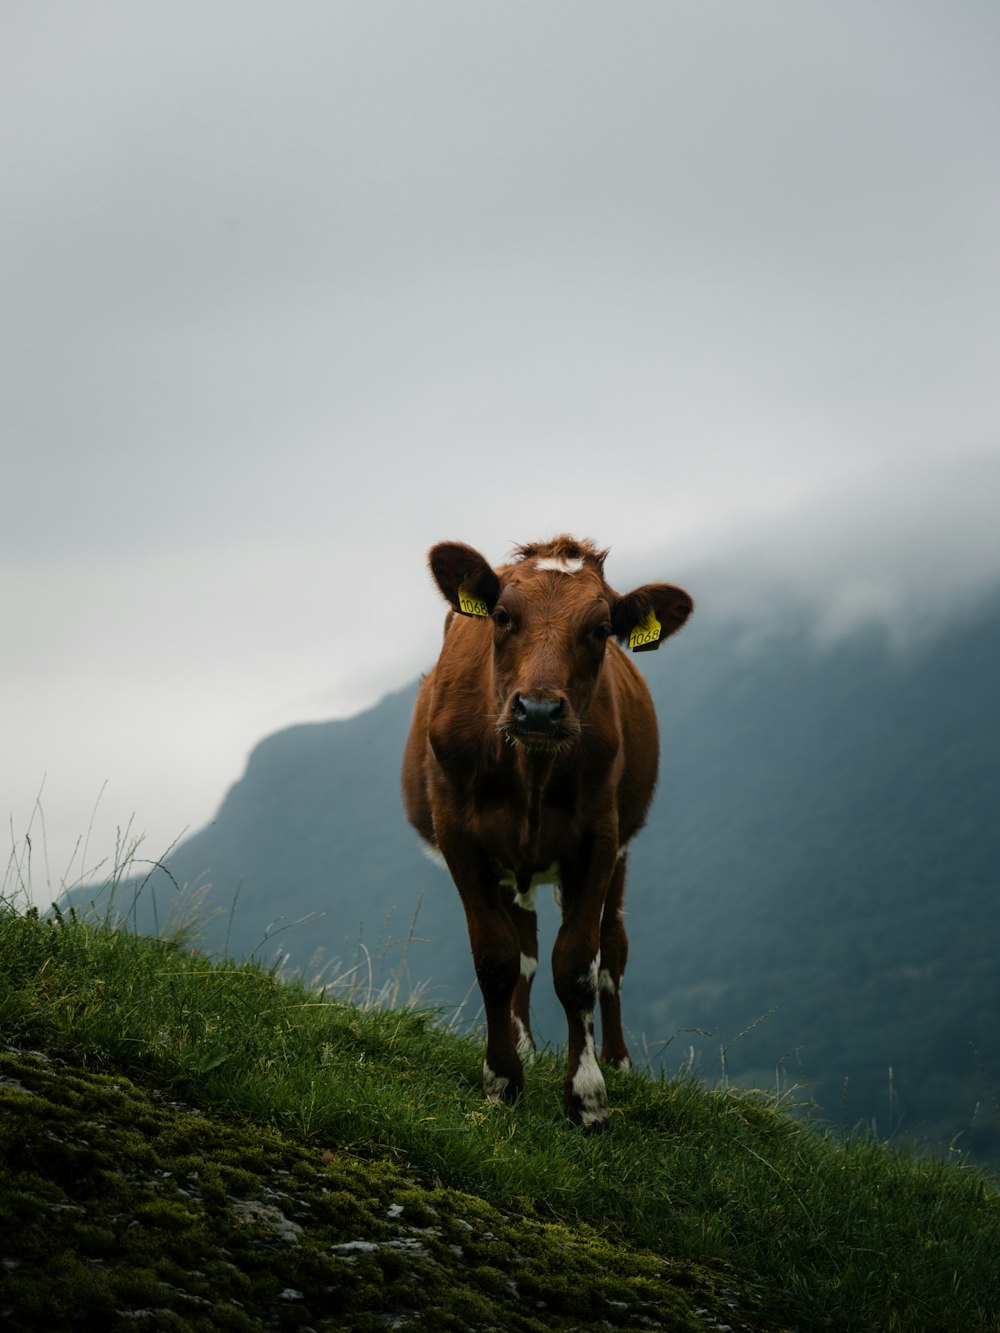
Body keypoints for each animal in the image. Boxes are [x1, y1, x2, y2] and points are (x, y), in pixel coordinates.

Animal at [402, 535, 693, 1130]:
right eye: (503, 617)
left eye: (601, 629)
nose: (538, 710)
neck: (530, 769)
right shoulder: (459, 836)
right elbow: (497, 958)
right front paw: (501, 1077)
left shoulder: (599, 838)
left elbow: (578, 965)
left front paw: (587, 1095)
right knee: (525, 948)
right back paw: (524, 1044)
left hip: (617, 851)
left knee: (613, 949)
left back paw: (618, 1060)